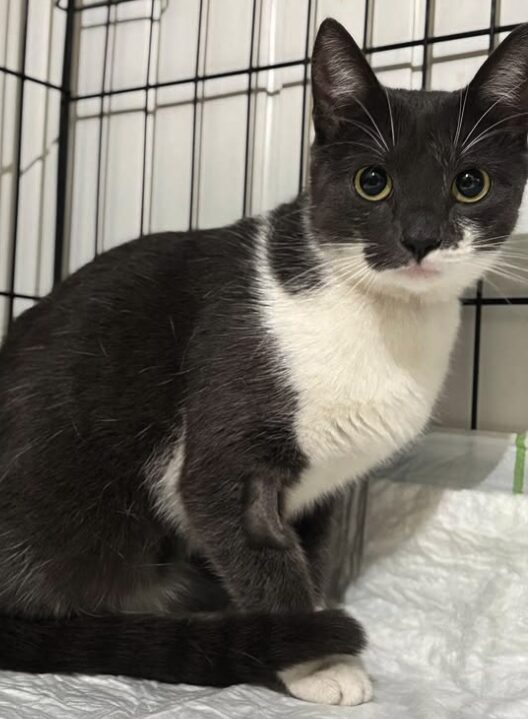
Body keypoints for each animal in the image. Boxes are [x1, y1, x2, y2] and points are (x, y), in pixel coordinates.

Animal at [1, 16, 528, 708]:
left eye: (470, 183)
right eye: (373, 181)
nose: (420, 237)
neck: (383, 320)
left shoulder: (323, 494)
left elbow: (311, 552)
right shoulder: (225, 437)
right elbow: (262, 553)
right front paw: (317, 660)